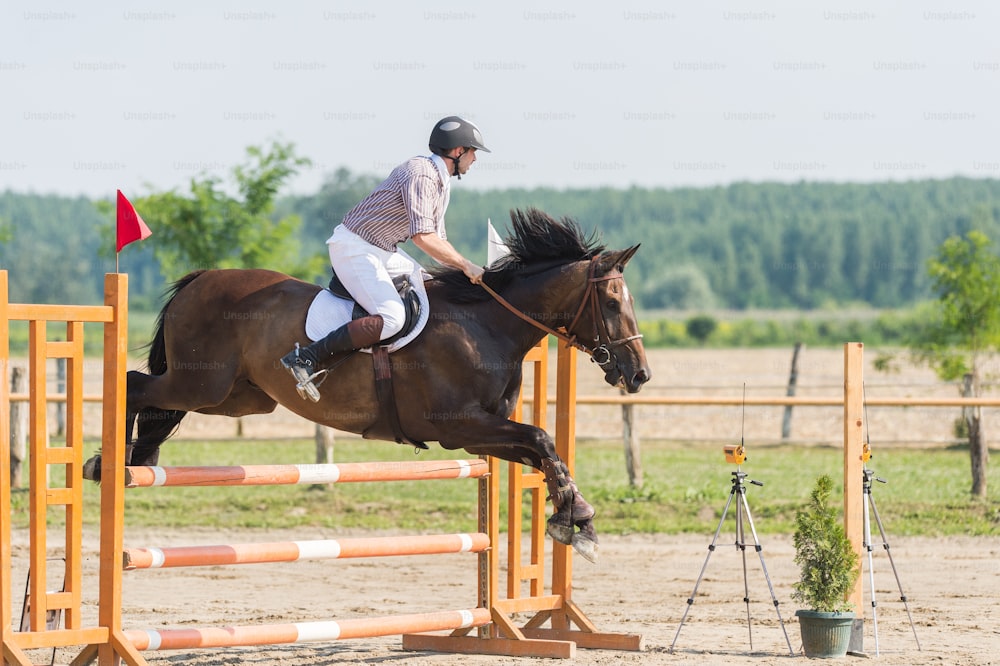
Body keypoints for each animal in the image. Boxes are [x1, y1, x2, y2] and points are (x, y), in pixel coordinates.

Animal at [84, 208, 648, 560]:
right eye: (612, 302)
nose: (639, 373)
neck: (486, 324)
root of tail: (200, 278)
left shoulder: (482, 435)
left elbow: (544, 451)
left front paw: (575, 517)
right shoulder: (461, 428)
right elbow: (542, 438)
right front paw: (576, 518)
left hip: (238, 398)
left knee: (157, 403)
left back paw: (133, 460)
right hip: (200, 384)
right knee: (135, 384)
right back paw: (109, 462)